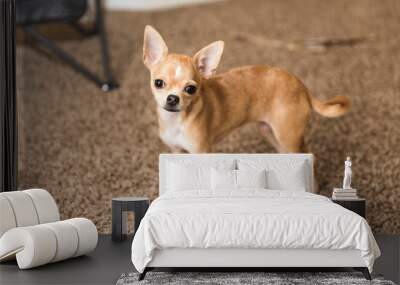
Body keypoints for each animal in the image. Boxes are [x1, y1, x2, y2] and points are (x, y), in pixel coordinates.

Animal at [144, 26, 350, 153]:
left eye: (190, 89)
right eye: (158, 83)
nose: (172, 98)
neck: (176, 121)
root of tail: (302, 86)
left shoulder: (201, 151)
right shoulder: (176, 151)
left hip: (288, 136)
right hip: (270, 132)